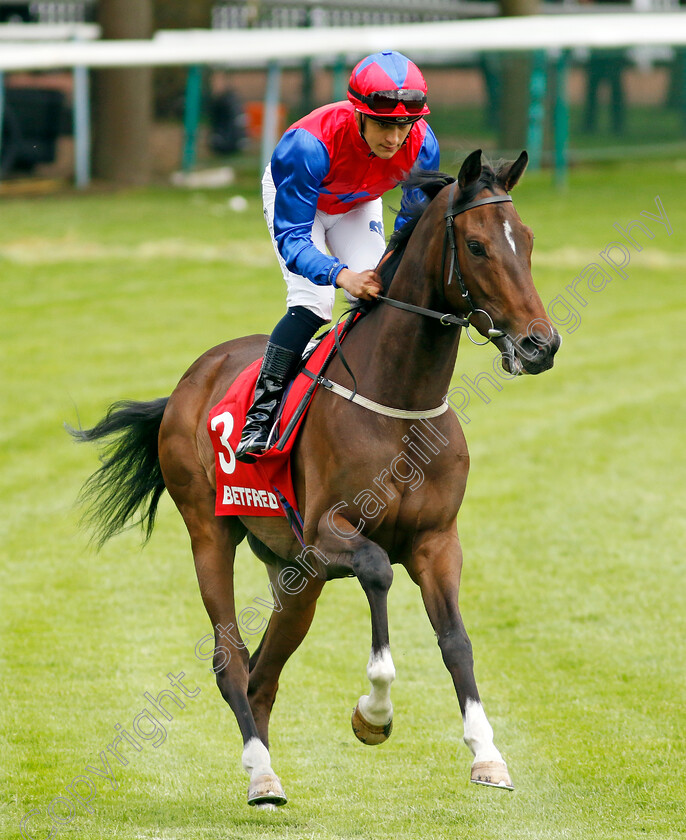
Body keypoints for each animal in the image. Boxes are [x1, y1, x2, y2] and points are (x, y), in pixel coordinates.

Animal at [74, 149, 560, 808]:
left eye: (527, 240)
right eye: (480, 246)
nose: (541, 344)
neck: (397, 402)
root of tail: (186, 383)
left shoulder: (436, 540)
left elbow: (457, 641)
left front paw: (487, 755)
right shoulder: (329, 535)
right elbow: (378, 572)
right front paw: (374, 713)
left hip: (293, 574)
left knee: (263, 670)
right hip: (212, 533)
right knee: (230, 657)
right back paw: (261, 774)